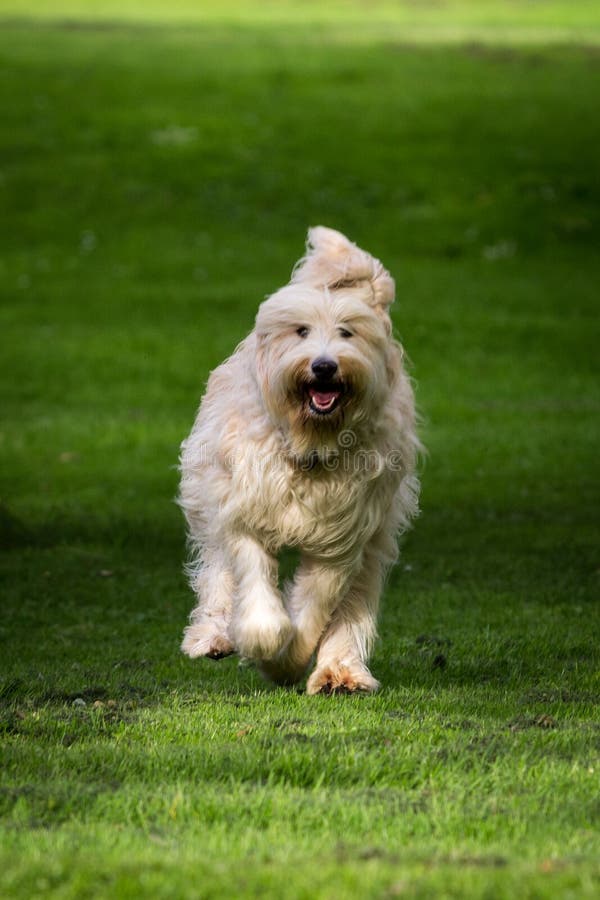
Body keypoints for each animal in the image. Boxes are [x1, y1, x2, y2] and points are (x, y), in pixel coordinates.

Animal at [180, 229, 420, 692]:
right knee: (216, 569)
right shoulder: (244, 511)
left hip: (376, 536)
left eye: (346, 332)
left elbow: (314, 605)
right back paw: (213, 634)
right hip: (208, 496)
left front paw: (286, 663)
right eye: (301, 331)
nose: (324, 366)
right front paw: (262, 642)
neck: (310, 446)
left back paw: (340, 672)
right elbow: (253, 584)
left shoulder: (342, 538)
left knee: (355, 601)